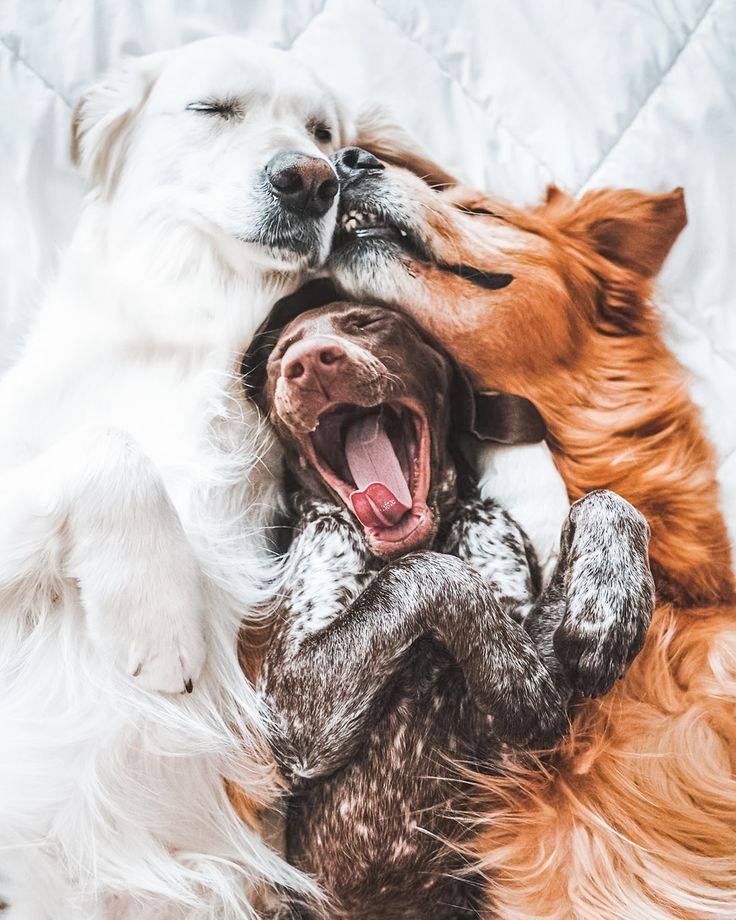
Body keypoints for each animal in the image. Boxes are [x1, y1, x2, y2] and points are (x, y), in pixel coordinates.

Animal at [0, 36, 354, 920]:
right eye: (213, 109)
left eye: (323, 133)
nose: (313, 179)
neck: (199, 307)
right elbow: (111, 440)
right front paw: (159, 619)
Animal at [243, 298, 656, 916]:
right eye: (277, 359)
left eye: (367, 322)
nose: (308, 362)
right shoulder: (293, 712)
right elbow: (432, 575)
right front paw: (518, 682)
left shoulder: (519, 724)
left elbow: (604, 502)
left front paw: (610, 605)